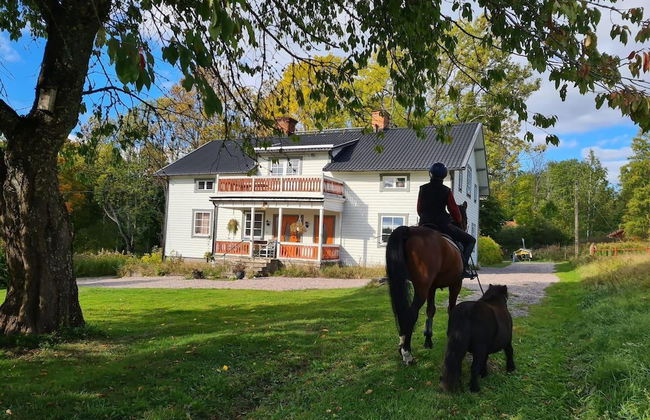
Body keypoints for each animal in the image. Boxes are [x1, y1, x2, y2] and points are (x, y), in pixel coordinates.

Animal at [385, 202, 468, 365]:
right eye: (465, 218)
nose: (466, 226)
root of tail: (409, 231)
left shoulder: (432, 287)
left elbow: (431, 310)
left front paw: (428, 339)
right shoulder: (456, 284)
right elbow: (451, 309)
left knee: (403, 312)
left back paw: (402, 344)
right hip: (422, 288)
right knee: (411, 313)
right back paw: (407, 352)